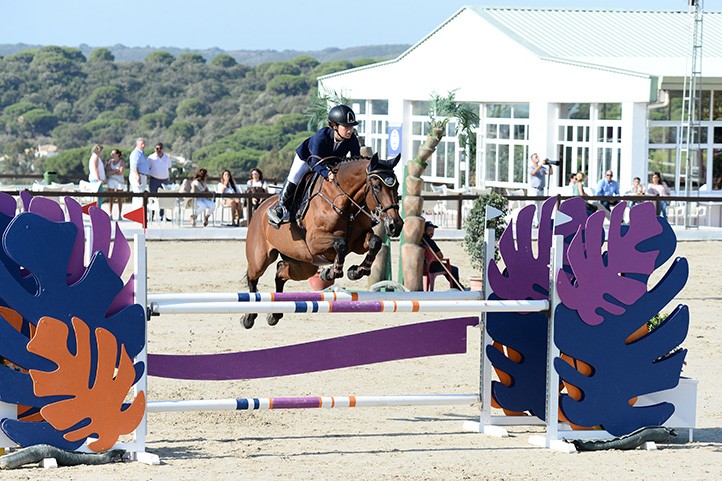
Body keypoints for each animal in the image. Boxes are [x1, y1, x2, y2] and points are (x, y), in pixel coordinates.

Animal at [243, 153, 402, 326]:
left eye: (397, 185)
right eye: (377, 186)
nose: (395, 225)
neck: (344, 202)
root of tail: (261, 208)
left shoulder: (358, 241)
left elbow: (375, 242)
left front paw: (357, 271)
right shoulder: (314, 241)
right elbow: (341, 244)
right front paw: (332, 272)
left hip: (304, 266)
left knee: (280, 272)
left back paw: (275, 314)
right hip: (261, 259)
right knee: (253, 278)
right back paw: (249, 317)